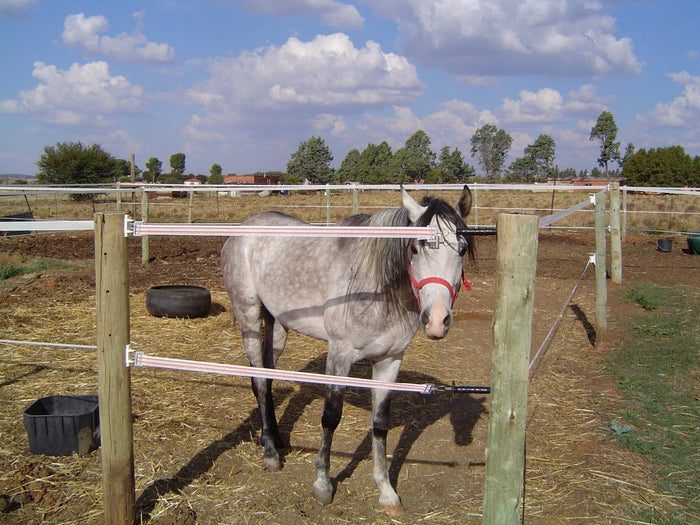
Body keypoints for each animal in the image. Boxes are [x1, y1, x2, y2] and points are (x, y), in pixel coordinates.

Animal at [221, 186, 474, 515]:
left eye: (462, 248)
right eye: (416, 248)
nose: (436, 320)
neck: (376, 289)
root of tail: (245, 227)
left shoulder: (389, 361)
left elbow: (380, 423)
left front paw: (386, 492)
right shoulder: (339, 356)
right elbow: (331, 417)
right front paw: (323, 484)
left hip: (277, 327)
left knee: (268, 377)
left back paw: (275, 439)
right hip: (249, 318)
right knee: (260, 383)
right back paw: (271, 454)